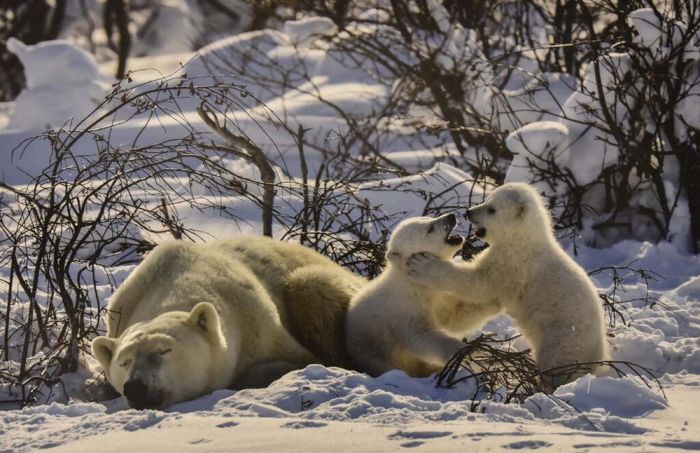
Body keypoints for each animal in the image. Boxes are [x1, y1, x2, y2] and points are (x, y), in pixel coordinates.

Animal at [92, 235, 364, 408]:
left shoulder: (260, 324)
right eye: (124, 362)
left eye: (164, 350)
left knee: (311, 287)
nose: (136, 387)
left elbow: (300, 359)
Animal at [346, 214, 500, 376]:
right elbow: (423, 336)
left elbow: (454, 317)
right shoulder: (404, 311)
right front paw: (465, 354)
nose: (450, 216)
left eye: (428, 217)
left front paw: (494, 299)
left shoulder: (437, 298)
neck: (413, 284)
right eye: (429, 229)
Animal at [408, 182, 608, 386]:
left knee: (555, 363)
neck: (523, 238)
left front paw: (422, 265)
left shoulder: (512, 263)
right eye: (487, 200)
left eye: (492, 209)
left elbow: (478, 283)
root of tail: (598, 356)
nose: (468, 212)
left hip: (562, 339)